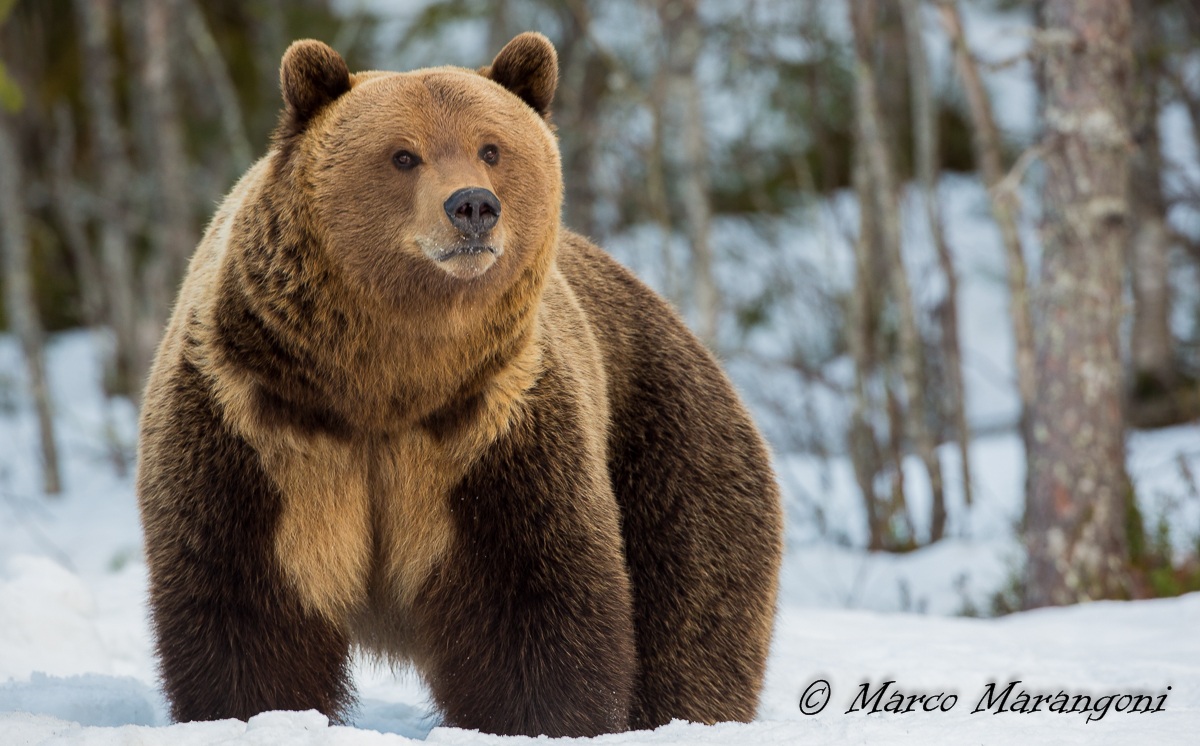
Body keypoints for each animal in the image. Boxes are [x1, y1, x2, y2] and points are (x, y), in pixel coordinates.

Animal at [136, 32, 782, 738]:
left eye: (491, 147)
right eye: (403, 154)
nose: (473, 205)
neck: (386, 382)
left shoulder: (493, 427)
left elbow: (531, 596)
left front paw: (539, 720)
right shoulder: (258, 419)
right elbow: (244, 597)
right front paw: (254, 714)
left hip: (666, 438)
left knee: (696, 603)